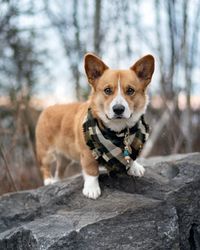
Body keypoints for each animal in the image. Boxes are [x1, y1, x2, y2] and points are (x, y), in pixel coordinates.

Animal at [35, 52, 155, 199]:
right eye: (107, 90)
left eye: (130, 90)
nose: (118, 109)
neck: (118, 132)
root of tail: (47, 108)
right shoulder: (87, 153)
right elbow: (91, 171)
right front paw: (92, 189)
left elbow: (131, 156)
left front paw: (134, 167)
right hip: (46, 151)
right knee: (44, 166)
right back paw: (49, 181)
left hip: (65, 156)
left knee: (60, 169)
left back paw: (58, 181)